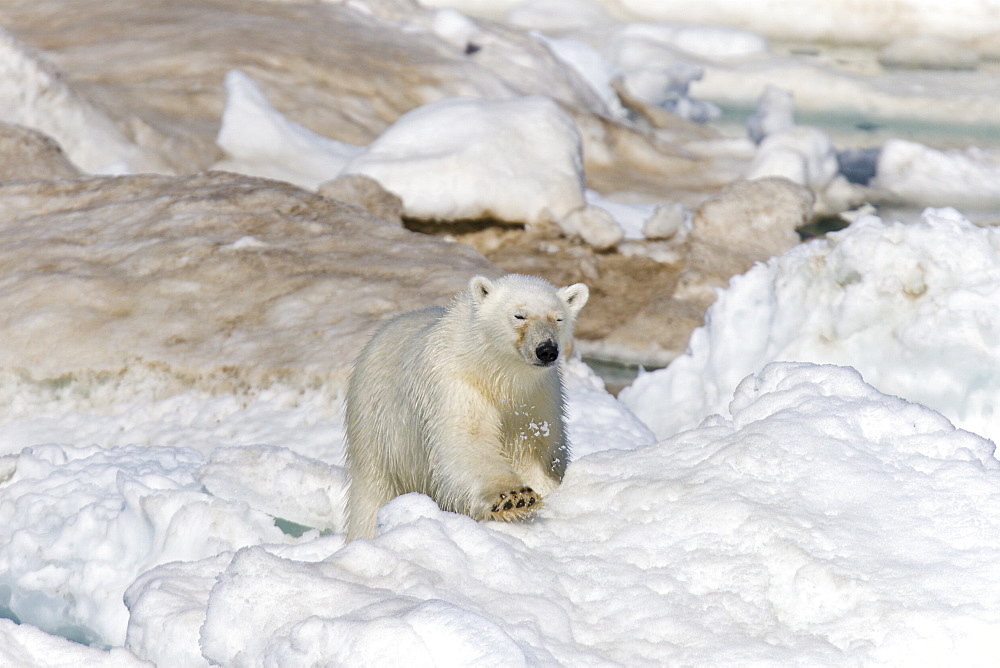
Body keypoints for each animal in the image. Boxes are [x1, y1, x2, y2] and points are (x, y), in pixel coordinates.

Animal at [348, 274, 588, 540]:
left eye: (558, 318)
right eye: (519, 315)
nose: (547, 350)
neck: (492, 371)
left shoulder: (539, 399)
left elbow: (536, 451)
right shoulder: (457, 384)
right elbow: (469, 442)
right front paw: (513, 497)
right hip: (378, 429)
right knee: (373, 492)